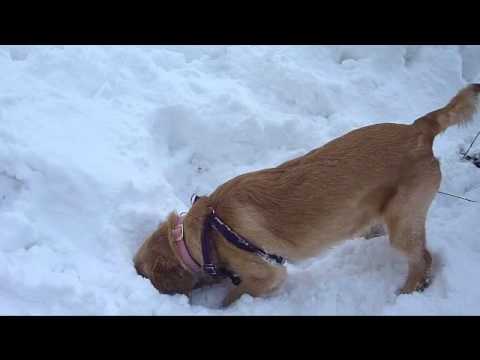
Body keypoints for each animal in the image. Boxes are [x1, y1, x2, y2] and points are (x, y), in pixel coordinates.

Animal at [134, 83, 480, 306]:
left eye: (143, 275)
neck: (207, 231)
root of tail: (419, 128)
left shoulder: (268, 274)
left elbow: (232, 297)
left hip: (404, 222)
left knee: (423, 258)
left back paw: (407, 293)